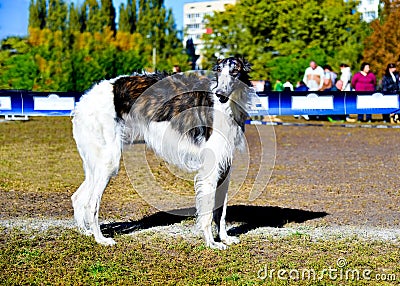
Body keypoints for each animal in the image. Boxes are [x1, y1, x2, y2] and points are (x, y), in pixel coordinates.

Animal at [72, 55, 253, 248]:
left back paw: (85, 231)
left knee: (78, 198)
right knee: (91, 203)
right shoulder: (210, 170)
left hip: (96, 164)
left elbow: (221, 211)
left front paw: (225, 237)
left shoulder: (224, 167)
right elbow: (208, 211)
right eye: (218, 70)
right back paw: (100, 239)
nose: (219, 94)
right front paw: (211, 243)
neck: (224, 108)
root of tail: (83, 101)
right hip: (108, 161)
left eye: (235, 71)